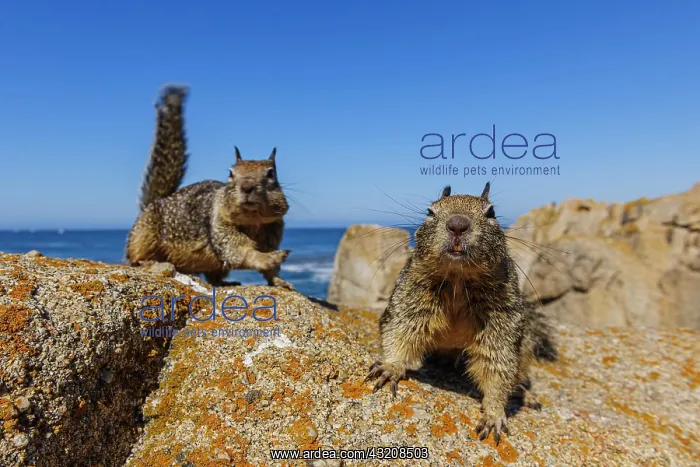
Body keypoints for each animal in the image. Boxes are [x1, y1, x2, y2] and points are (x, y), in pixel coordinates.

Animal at [125, 85, 294, 289]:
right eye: (230, 173)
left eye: (271, 174)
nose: (247, 187)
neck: (253, 221)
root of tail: (155, 201)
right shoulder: (219, 225)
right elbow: (239, 251)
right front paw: (268, 258)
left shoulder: (272, 231)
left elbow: (270, 271)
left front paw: (279, 280)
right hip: (144, 234)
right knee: (136, 255)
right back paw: (146, 262)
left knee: (214, 277)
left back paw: (227, 282)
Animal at [365, 182, 557, 444]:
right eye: (430, 211)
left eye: (491, 212)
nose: (457, 224)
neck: (458, 278)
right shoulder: (410, 296)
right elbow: (400, 329)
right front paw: (391, 366)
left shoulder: (502, 318)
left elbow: (498, 364)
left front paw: (494, 414)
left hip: (525, 348)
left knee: (518, 374)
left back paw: (526, 395)